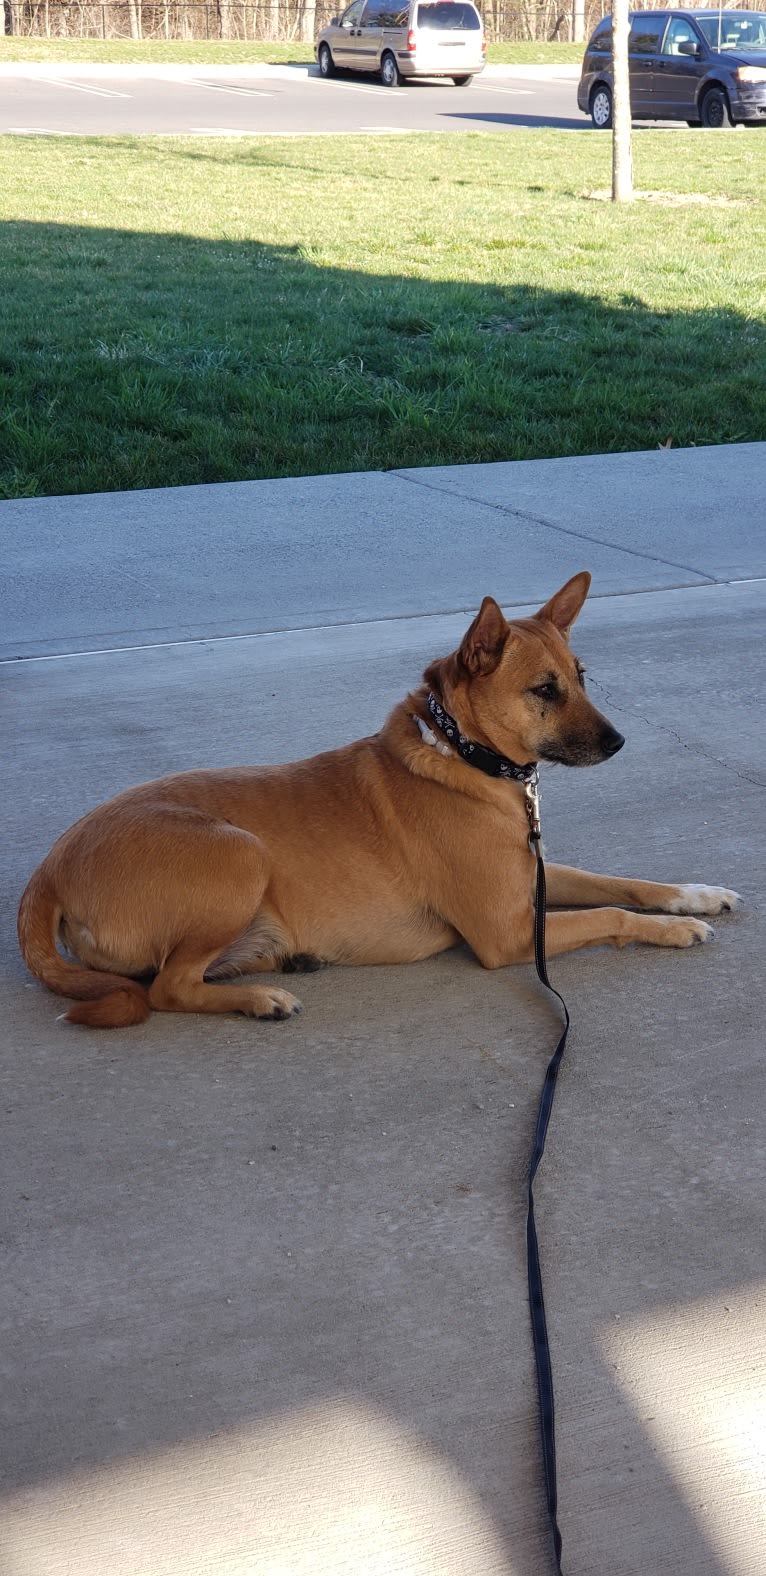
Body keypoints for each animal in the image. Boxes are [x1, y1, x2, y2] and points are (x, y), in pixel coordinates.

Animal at [17, 573, 737, 1027]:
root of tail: (49, 870)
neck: (462, 754)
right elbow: (610, 913)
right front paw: (674, 931)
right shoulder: (507, 932)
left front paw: (695, 896)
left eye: (582, 678)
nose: (620, 742)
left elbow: (619, 882)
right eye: (544, 689)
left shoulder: (531, 877)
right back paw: (261, 998)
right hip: (240, 854)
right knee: (167, 987)